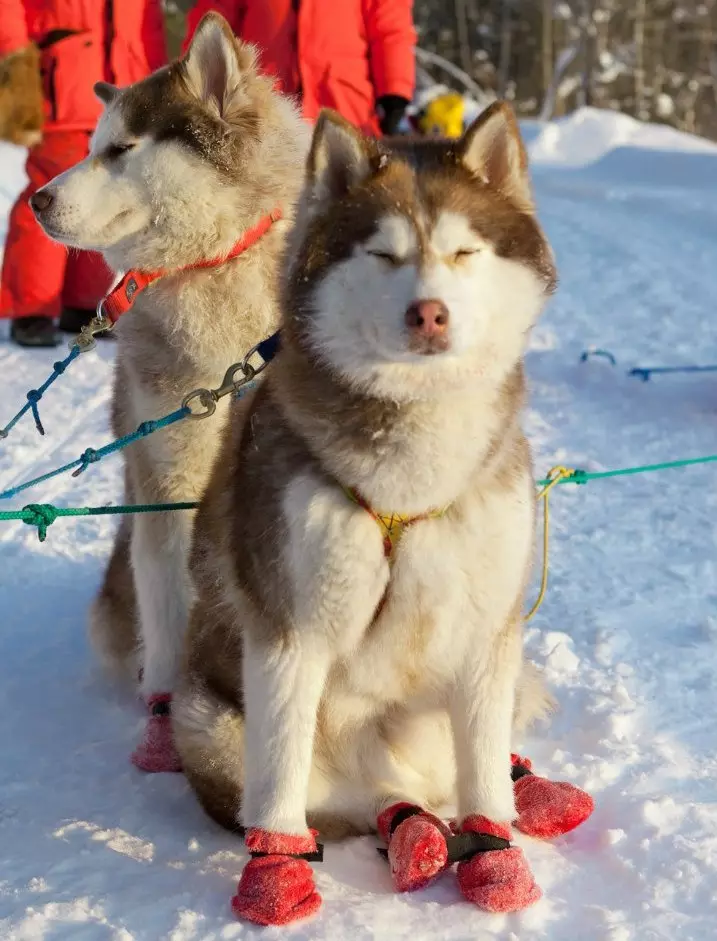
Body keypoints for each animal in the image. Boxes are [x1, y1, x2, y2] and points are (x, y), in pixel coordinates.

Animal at [30, 11, 310, 768]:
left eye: (121, 147)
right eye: (89, 145)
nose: (35, 198)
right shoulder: (169, 484)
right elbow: (175, 614)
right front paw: (168, 716)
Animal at [175, 104, 592, 924]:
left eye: (463, 251)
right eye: (381, 254)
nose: (428, 313)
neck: (410, 475)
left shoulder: (488, 632)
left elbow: (484, 773)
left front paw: (496, 860)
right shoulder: (290, 632)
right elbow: (278, 783)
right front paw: (275, 879)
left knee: (469, 766)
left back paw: (518, 794)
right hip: (211, 724)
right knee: (363, 804)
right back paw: (411, 832)